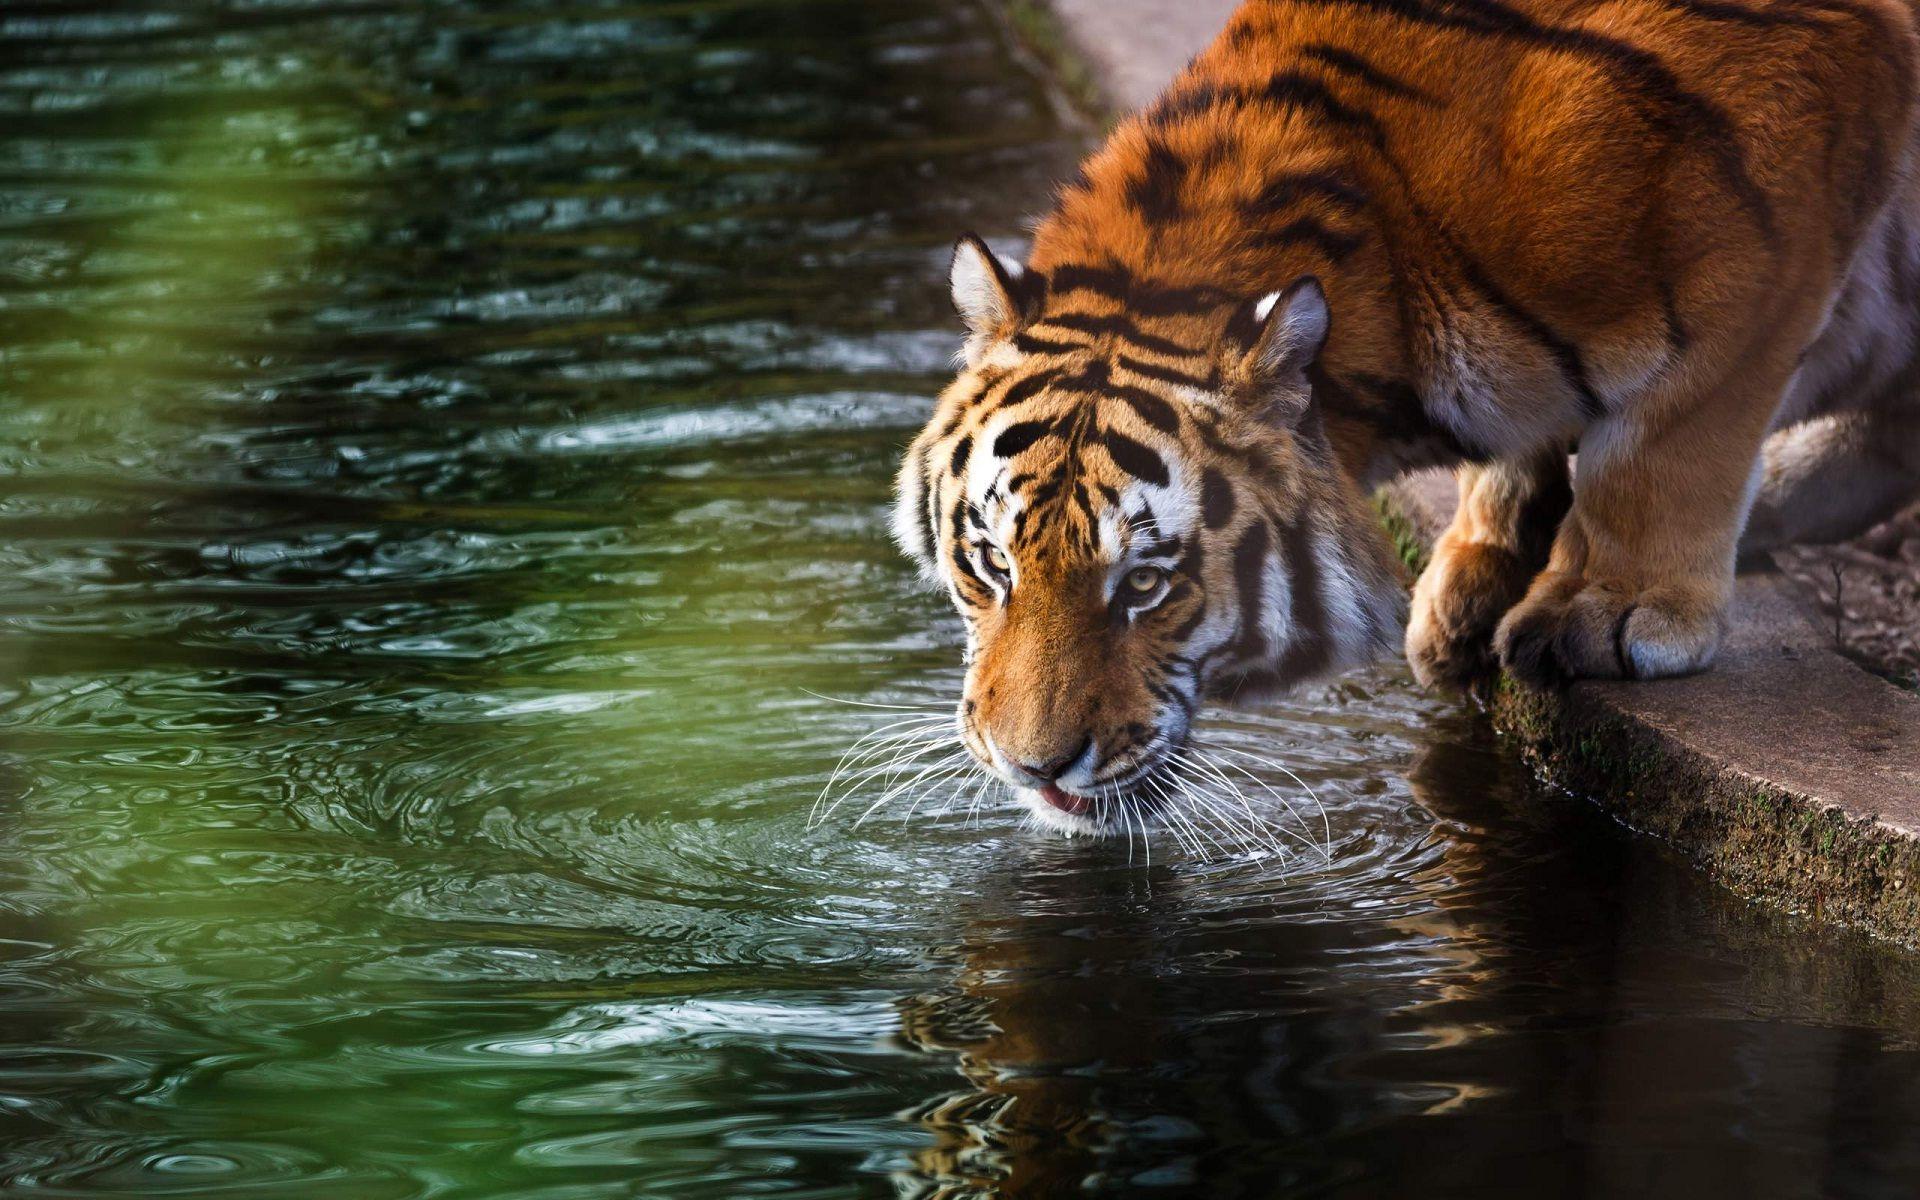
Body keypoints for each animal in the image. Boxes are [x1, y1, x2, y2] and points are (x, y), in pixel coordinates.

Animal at [894, 0, 1920, 835]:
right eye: (991, 565)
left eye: (1146, 584)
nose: (1032, 769)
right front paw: (1475, 577)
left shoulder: (1772, 225)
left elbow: (1665, 442)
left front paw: (1608, 605)